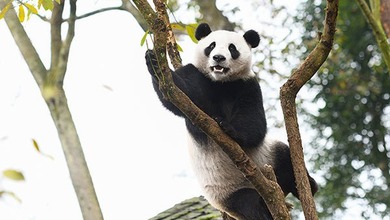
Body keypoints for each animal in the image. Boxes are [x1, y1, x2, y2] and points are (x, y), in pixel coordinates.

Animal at [145, 23, 318, 219]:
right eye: (211, 46)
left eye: (232, 48)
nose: (218, 58)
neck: (221, 83)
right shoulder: (195, 75)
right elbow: (177, 97)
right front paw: (154, 63)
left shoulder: (247, 85)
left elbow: (254, 122)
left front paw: (228, 128)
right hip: (229, 194)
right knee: (249, 204)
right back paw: (264, 209)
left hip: (269, 157)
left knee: (285, 159)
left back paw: (307, 186)